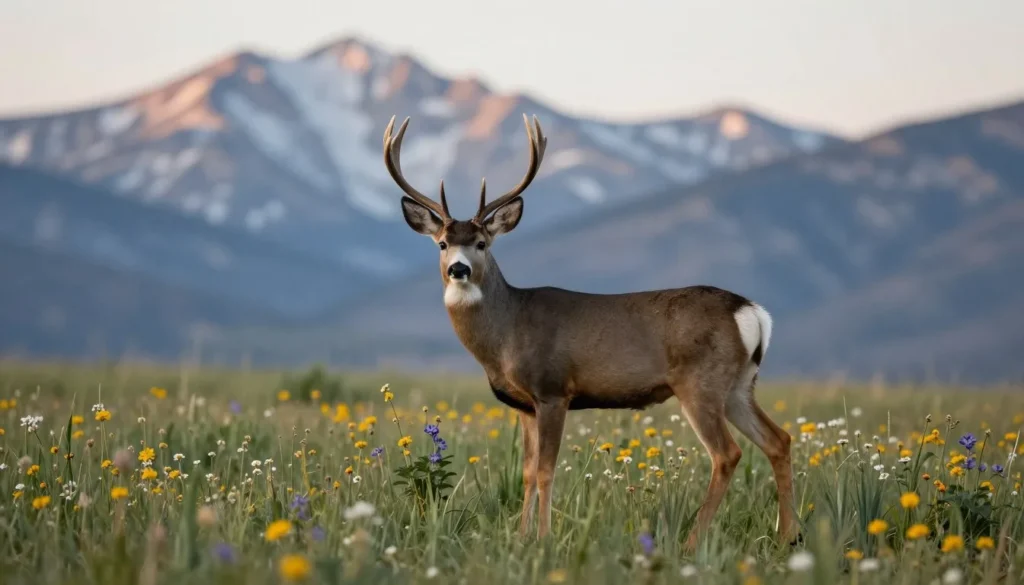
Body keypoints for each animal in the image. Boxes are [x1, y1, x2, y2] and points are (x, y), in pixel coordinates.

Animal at [382, 114, 797, 550]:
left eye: (481, 242)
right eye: (442, 243)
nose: (458, 269)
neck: (506, 333)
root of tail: (752, 311)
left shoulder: (552, 390)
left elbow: (545, 470)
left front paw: (544, 537)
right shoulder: (524, 405)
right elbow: (527, 473)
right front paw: (521, 537)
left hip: (701, 382)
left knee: (727, 454)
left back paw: (691, 543)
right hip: (739, 385)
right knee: (779, 440)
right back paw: (789, 536)